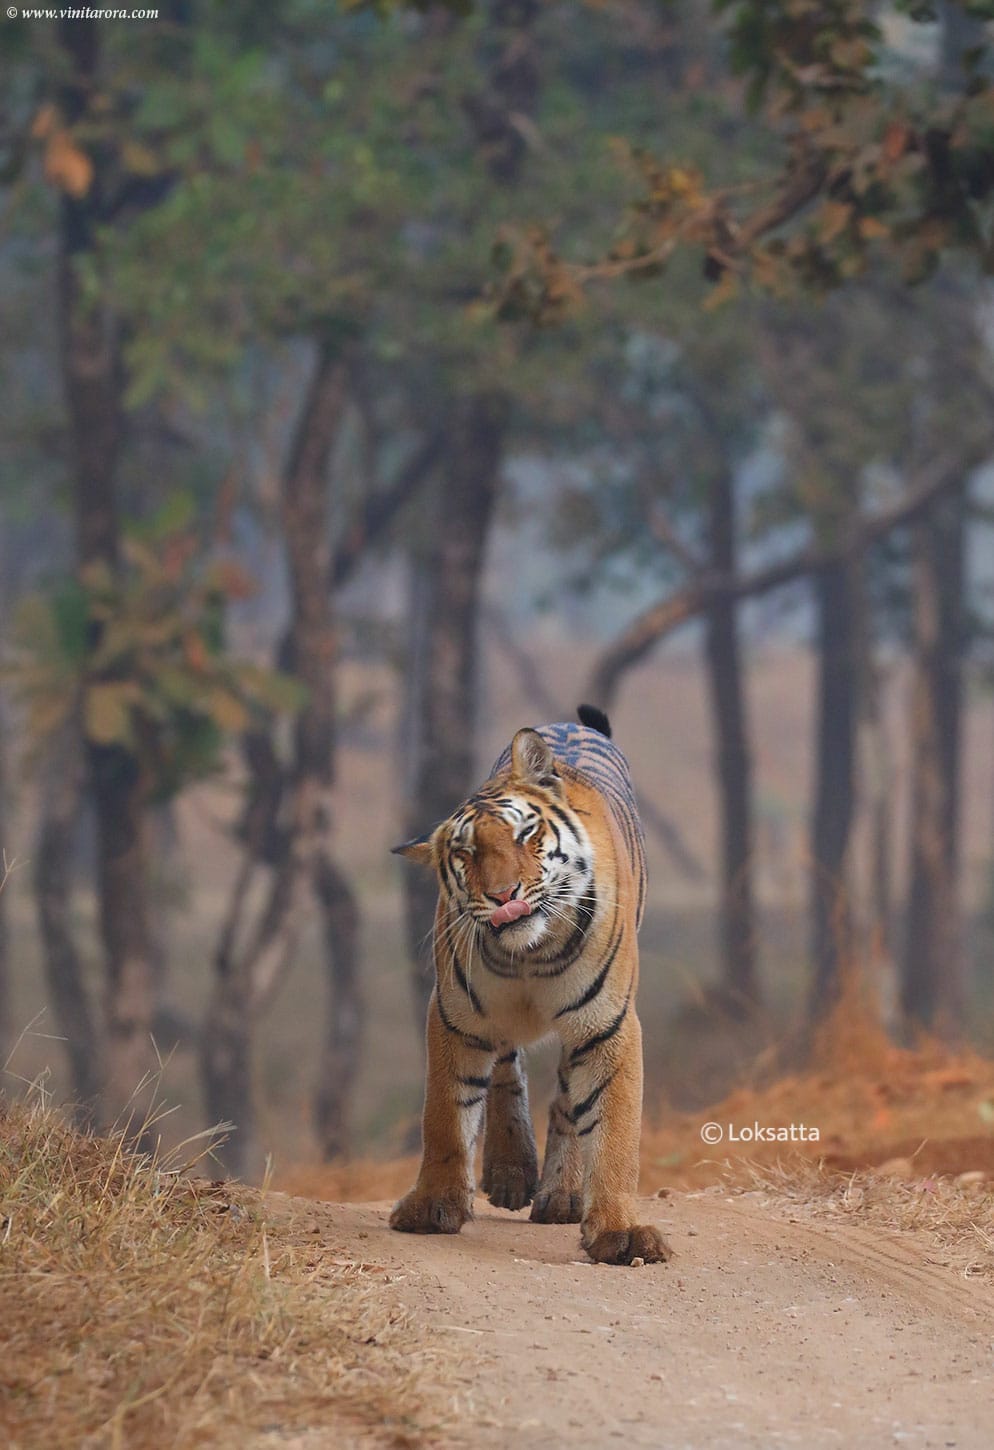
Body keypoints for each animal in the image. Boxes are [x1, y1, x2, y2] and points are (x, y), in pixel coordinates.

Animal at [394, 707, 672, 1264]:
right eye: (465, 852)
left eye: (525, 834)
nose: (505, 896)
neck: (528, 956)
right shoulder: (453, 1015)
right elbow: (445, 1117)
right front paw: (432, 1207)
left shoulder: (607, 1025)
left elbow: (613, 1130)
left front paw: (619, 1231)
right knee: (505, 1066)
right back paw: (510, 1173)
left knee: (567, 1100)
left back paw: (561, 1193)